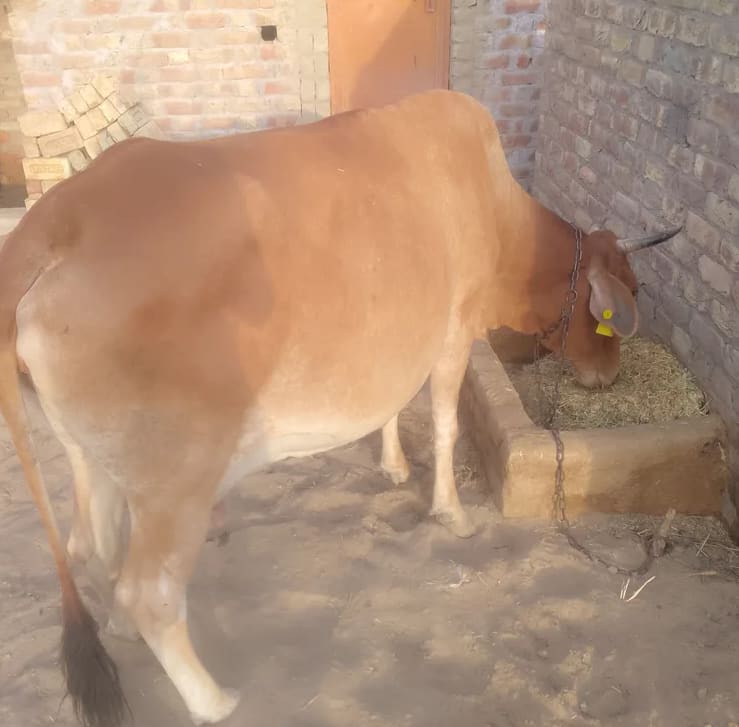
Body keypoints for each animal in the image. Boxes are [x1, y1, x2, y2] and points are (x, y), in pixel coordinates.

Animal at [0, 89, 679, 726]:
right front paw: (452, 512)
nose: (609, 377)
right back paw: (214, 700)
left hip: (91, 457)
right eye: (630, 292)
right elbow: (446, 424)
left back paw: (118, 624)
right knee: (151, 590)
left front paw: (394, 467)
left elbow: (390, 404)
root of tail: (51, 224)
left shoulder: (397, 340)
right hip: (178, 477)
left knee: (92, 549)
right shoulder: (454, 331)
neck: (499, 215)